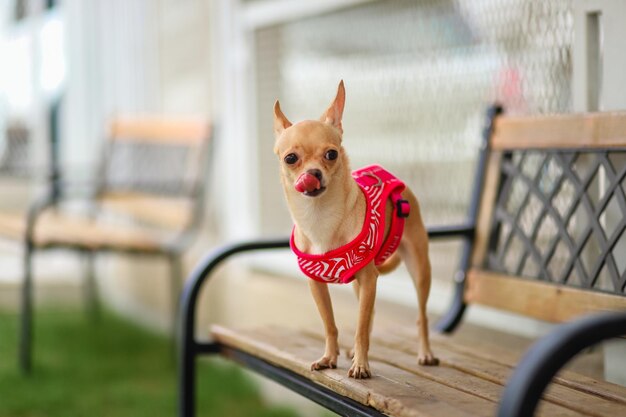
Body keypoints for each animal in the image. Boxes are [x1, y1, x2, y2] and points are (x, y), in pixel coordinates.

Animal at [270, 80, 436, 376]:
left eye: (331, 154)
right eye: (291, 158)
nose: (312, 175)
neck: (320, 216)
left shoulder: (369, 279)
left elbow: (359, 328)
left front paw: (361, 365)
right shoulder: (318, 285)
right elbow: (331, 325)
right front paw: (329, 357)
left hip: (418, 268)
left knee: (420, 316)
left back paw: (425, 353)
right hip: (362, 284)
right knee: (368, 314)